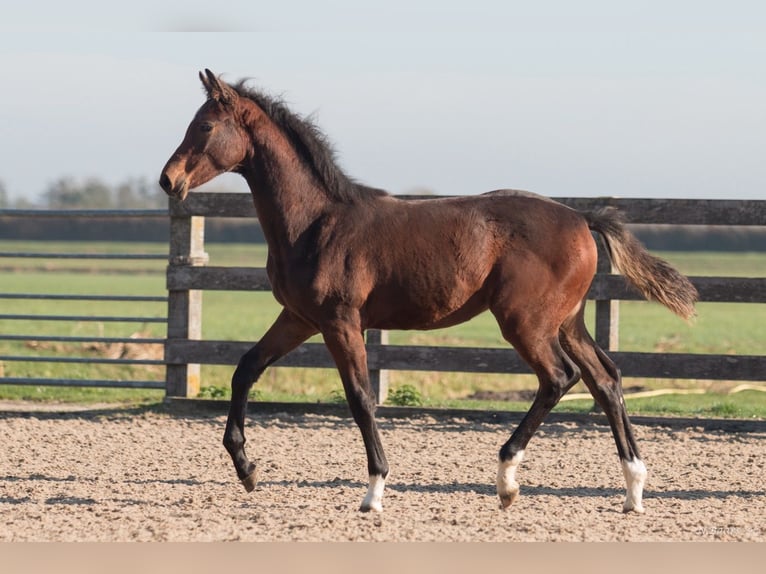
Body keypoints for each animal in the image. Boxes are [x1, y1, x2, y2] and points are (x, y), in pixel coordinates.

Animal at [162, 70, 704, 516]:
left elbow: (360, 397)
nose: (169, 180)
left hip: (525, 322)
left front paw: (374, 492)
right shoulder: (299, 318)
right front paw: (247, 470)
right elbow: (246, 369)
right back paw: (633, 489)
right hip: (566, 322)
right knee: (605, 380)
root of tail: (580, 216)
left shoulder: (340, 320)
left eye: (205, 127)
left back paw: (507, 480)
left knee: (559, 378)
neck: (316, 222)